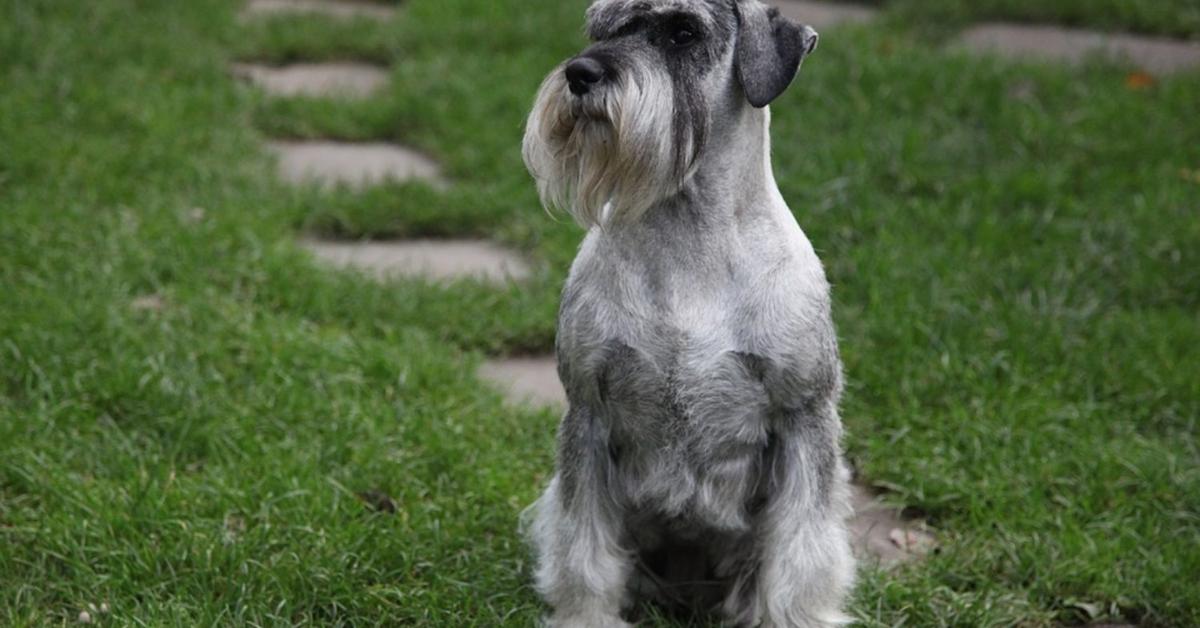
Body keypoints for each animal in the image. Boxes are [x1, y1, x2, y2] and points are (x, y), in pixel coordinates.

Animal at [523, 2, 854, 624]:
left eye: (683, 32)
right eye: (601, 29)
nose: (580, 73)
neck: (689, 238)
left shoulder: (805, 418)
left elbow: (801, 556)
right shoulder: (589, 413)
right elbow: (584, 550)